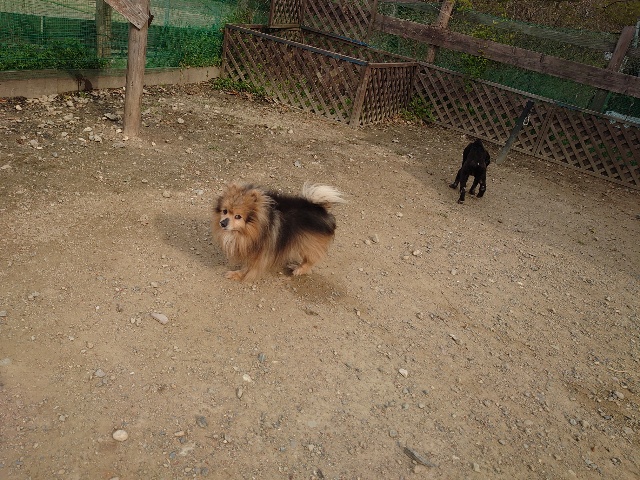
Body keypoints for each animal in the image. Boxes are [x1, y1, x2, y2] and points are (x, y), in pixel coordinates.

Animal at [212, 182, 346, 281]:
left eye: (238, 216)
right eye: (225, 211)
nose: (223, 223)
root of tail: (320, 208)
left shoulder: (260, 252)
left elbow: (248, 267)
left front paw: (237, 274)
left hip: (308, 242)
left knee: (311, 259)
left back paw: (299, 269)